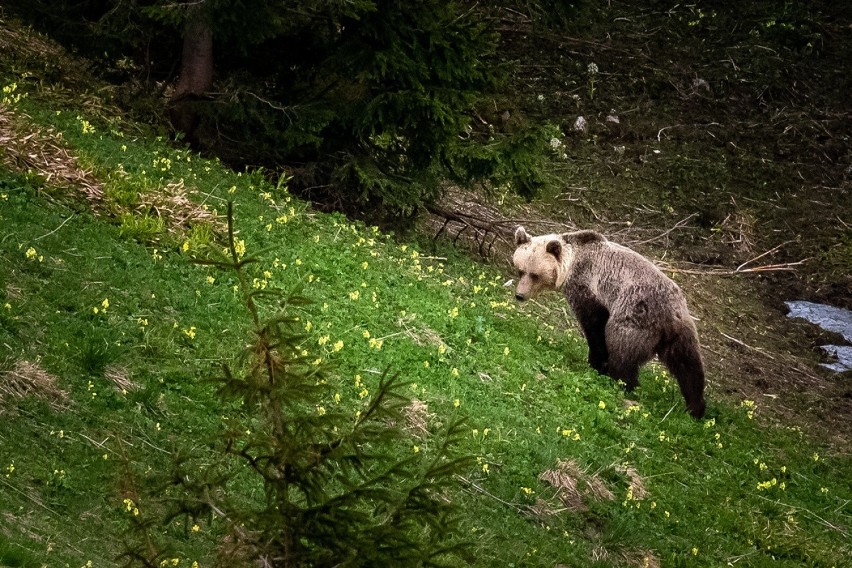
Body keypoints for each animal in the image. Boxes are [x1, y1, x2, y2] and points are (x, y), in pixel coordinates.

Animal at [512, 225, 704, 418]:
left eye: (535, 275)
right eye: (521, 270)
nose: (520, 295)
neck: (571, 263)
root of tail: (669, 317)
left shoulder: (588, 285)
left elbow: (594, 325)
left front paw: (596, 363)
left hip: (636, 316)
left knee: (623, 352)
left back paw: (621, 383)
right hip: (682, 331)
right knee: (688, 366)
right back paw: (696, 408)